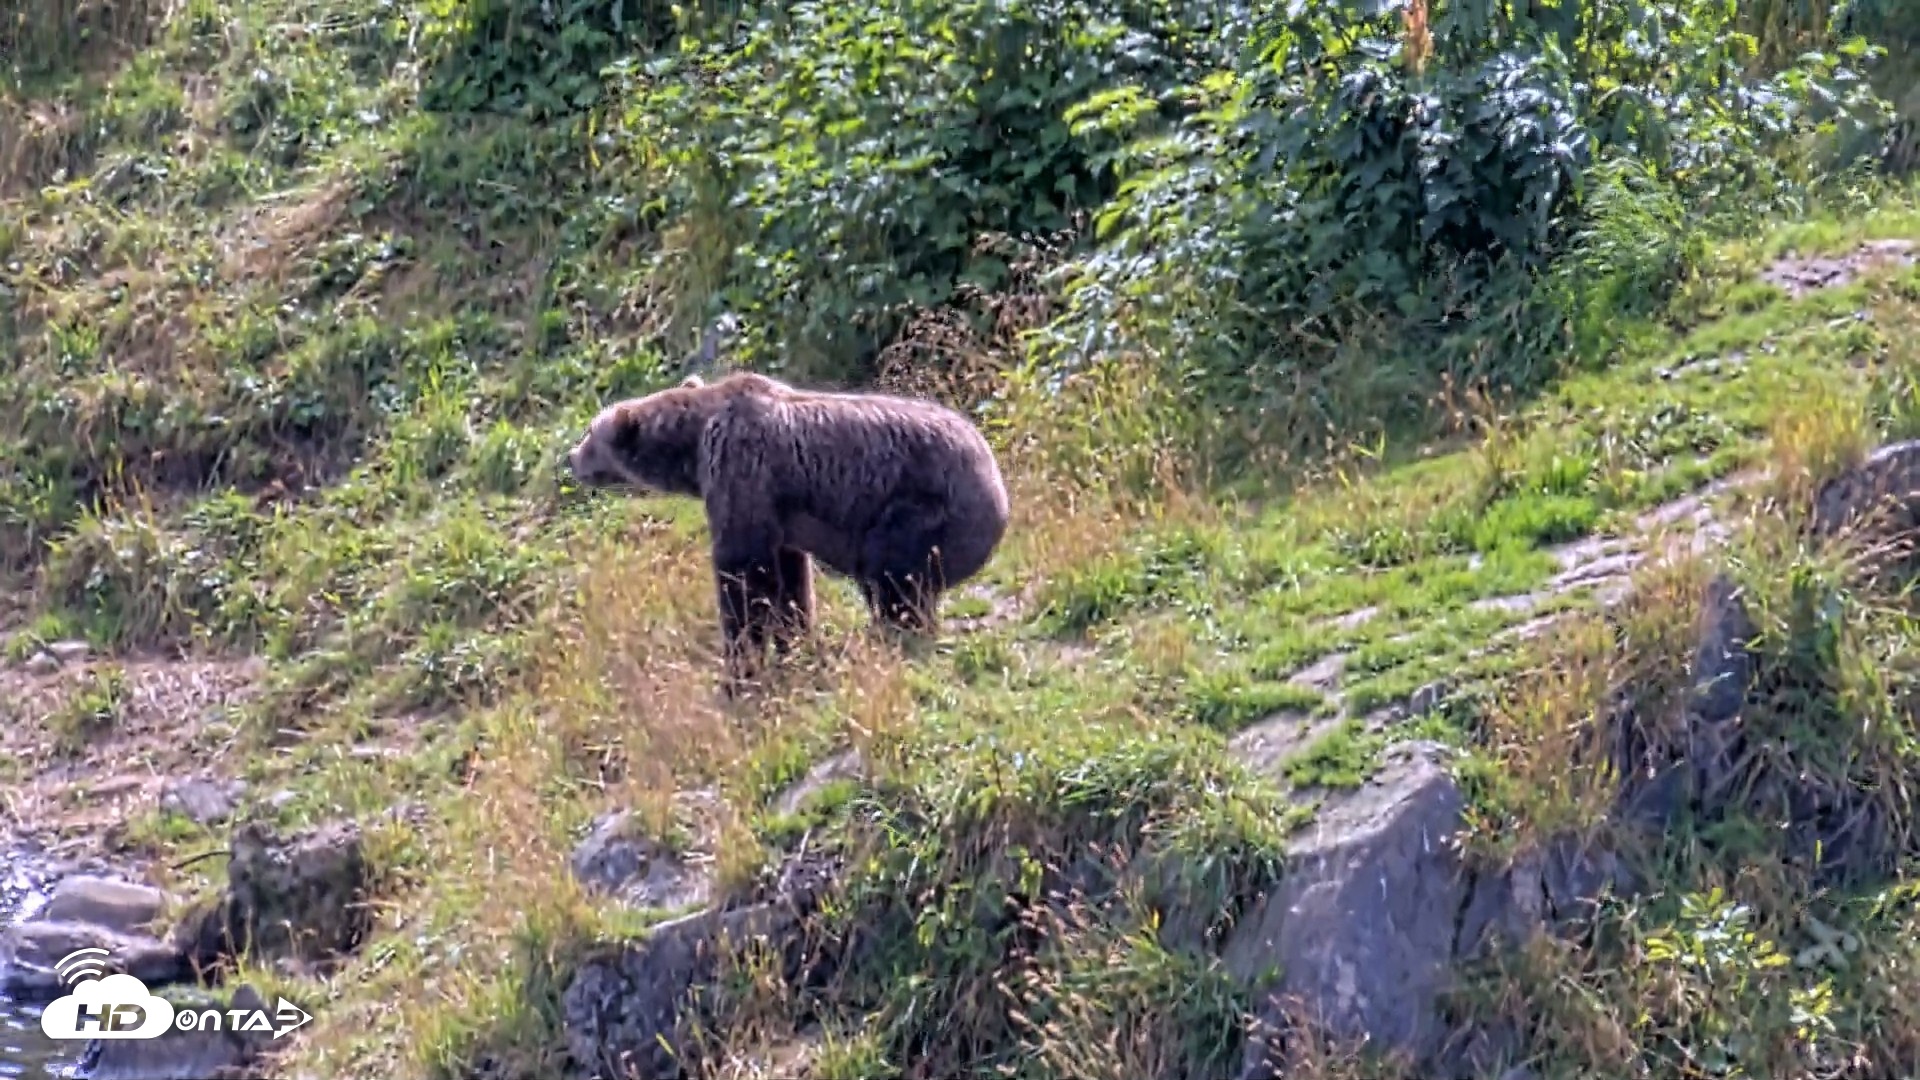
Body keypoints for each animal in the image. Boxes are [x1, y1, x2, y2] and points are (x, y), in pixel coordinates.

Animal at [565, 370, 1011, 685]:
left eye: (589, 432)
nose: (571, 457)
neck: (691, 449)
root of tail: (997, 486)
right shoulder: (780, 518)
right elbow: (789, 576)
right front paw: (793, 639)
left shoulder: (740, 469)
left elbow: (743, 573)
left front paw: (740, 664)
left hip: (918, 510)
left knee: (891, 575)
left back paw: (894, 633)